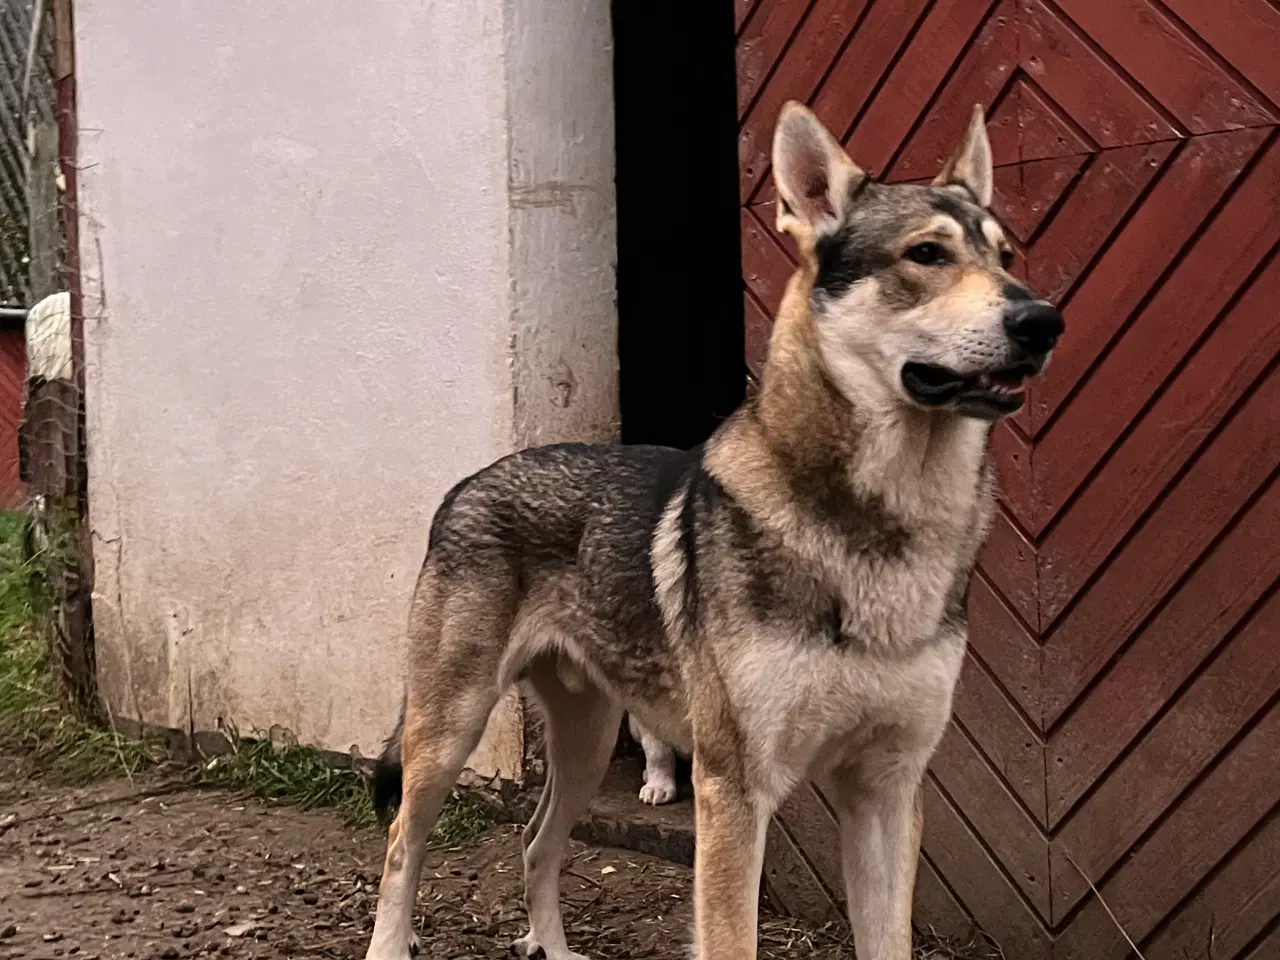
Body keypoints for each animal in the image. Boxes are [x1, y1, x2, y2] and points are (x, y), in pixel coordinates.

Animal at [363, 104, 1059, 960]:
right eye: (927, 254)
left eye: (1006, 257)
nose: (1043, 320)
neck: (881, 529)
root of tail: (465, 483)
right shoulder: (732, 789)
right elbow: (729, 937)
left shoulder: (888, 791)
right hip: (448, 736)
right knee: (401, 845)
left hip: (589, 741)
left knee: (535, 843)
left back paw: (554, 949)